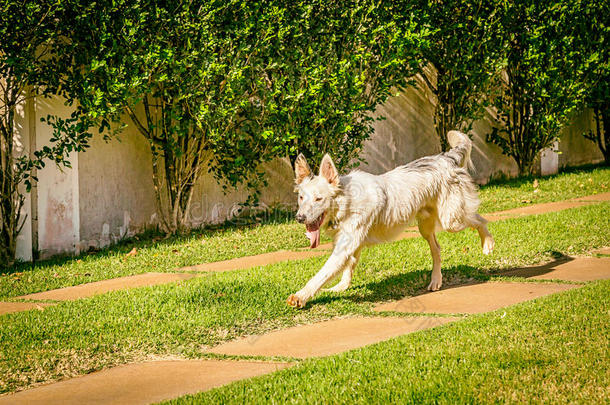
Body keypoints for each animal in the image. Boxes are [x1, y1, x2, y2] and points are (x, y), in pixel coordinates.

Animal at [288, 131, 492, 308]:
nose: (300, 217)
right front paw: (339, 288)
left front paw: (301, 296)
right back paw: (436, 280)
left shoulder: (345, 246)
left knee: (479, 219)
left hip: (452, 220)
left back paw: (488, 244)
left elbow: (321, 275)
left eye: (318, 199)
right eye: (301, 198)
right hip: (426, 227)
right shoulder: (351, 244)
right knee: (437, 249)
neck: (346, 201)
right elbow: (348, 269)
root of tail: (445, 159)